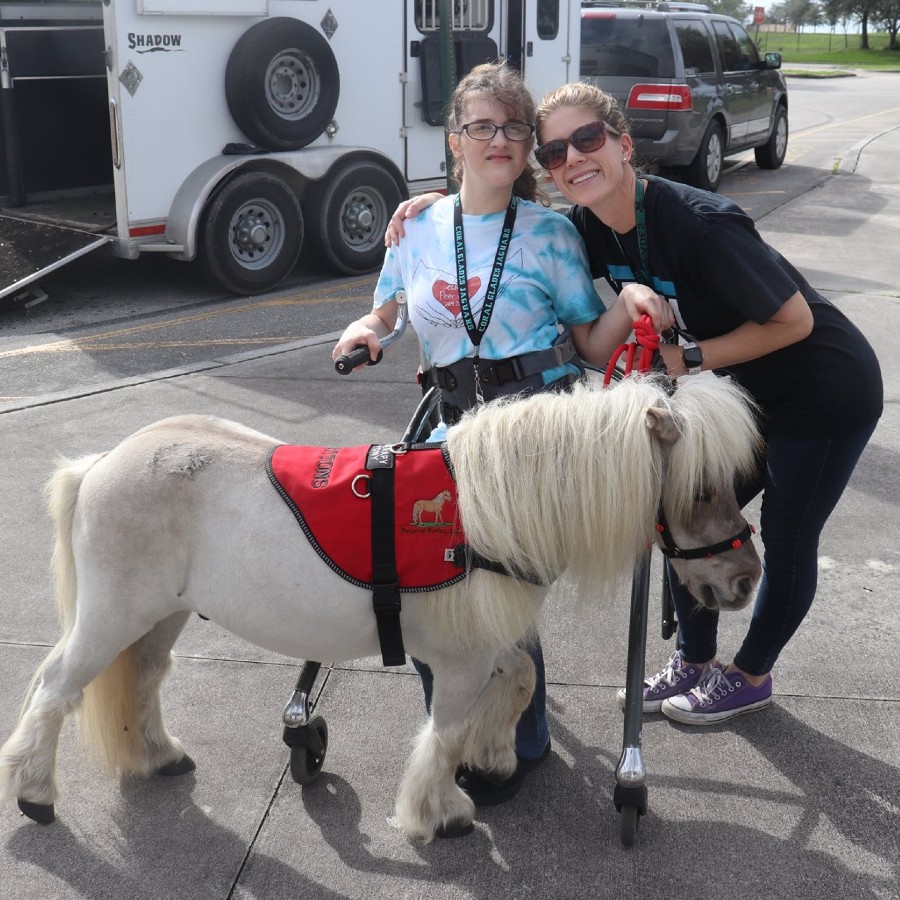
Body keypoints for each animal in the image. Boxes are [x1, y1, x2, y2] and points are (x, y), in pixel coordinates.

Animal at [0, 372, 760, 844]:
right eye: (698, 488)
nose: (746, 581)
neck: (487, 510)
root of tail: (101, 463)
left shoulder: (486, 645)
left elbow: (517, 683)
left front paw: (494, 758)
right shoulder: (457, 661)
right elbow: (444, 733)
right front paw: (440, 812)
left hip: (162, 616)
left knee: (144, 677)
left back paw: (157, 755)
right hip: (112, 615)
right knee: (56, 687)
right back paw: (35, 794)